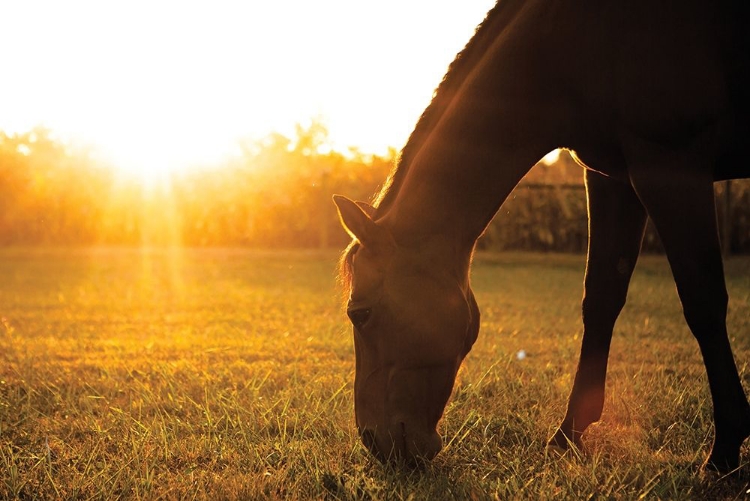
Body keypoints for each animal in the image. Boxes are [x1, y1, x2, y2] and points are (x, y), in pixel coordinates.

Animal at [336, 0, 750, 470]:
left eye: (359, 314)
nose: (373, 442)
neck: (567, 44)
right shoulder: (613, 177)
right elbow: (601, 300)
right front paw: (568, 434)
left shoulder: (670, 165)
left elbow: (703, 303)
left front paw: (724, 448)